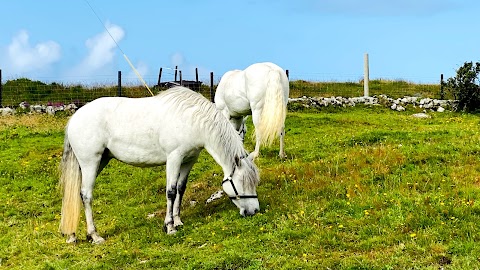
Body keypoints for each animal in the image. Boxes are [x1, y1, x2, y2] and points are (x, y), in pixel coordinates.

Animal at [60, 87, 262, 245]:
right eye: (242, 184)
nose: (255, 211)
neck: (191, 120)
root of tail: (75, 117)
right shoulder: (174, 158)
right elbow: (171, 192)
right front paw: (169, 226)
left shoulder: (188, 160)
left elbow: (180, 188)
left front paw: (178, 221)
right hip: (90, 162)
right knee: (86, 195)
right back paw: (94, 235)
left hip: (99, 162)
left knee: (76, 194)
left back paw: (72, 235)